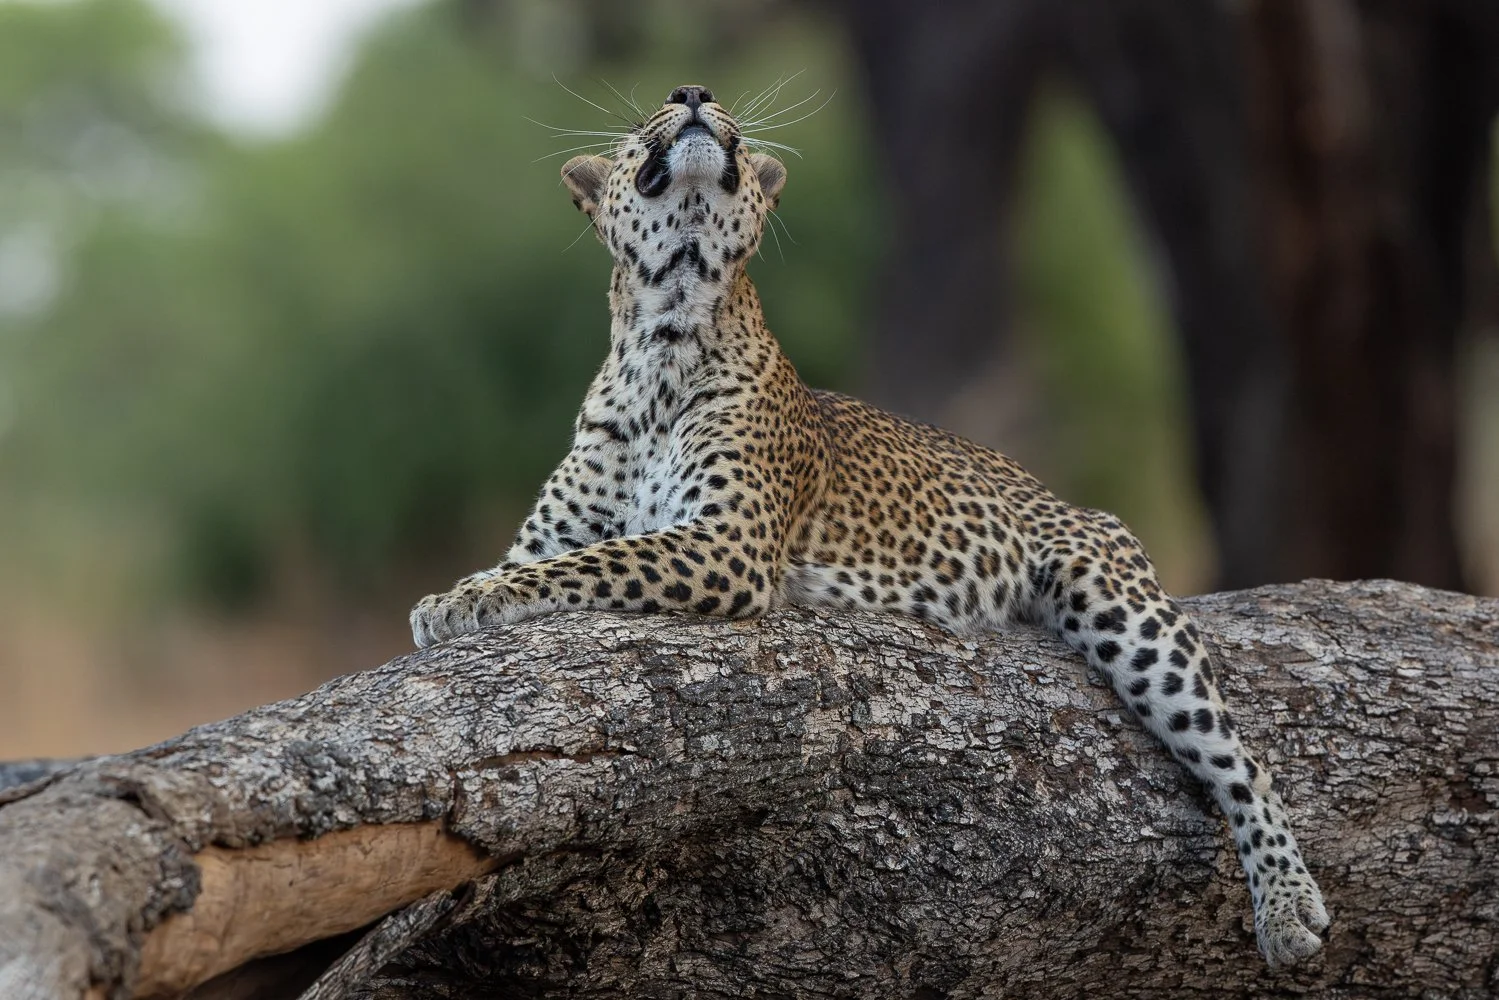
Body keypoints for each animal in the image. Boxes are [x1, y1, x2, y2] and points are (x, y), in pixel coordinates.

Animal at [410, 83, 1330, 967]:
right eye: (648, 116)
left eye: (708, 104)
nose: (693, 90)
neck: (660, 340)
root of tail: (1063, 498)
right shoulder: (559, 532)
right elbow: (547, 557)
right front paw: (460, 595)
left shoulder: (725, 545)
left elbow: (591, 562)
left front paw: (457, 601)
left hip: (1121, 606)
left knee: (1241, 761)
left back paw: (1287, 907)